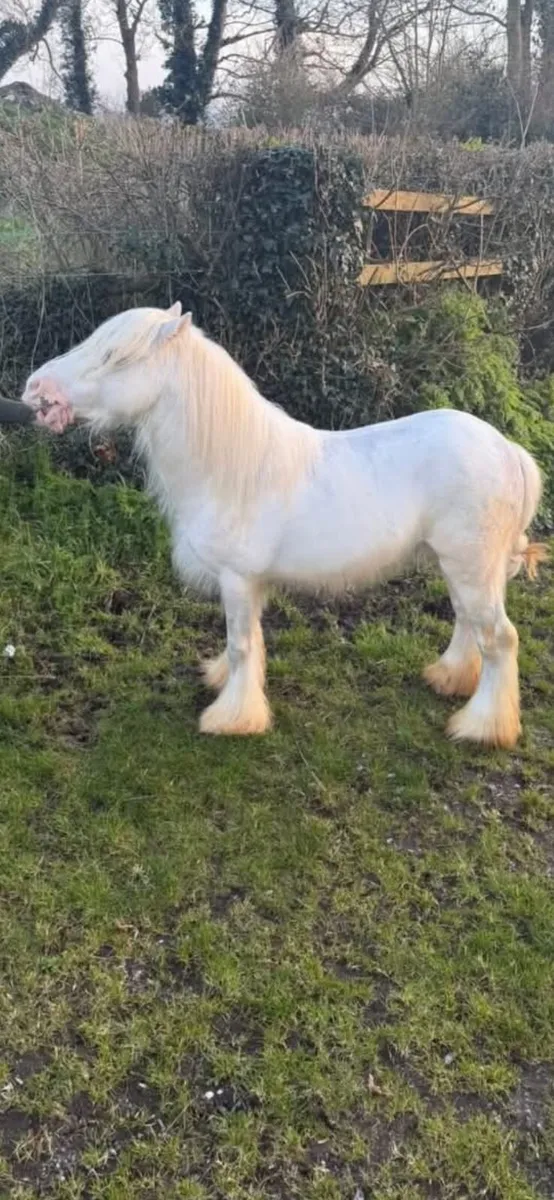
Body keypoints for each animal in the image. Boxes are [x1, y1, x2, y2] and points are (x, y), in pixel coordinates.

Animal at [22, 302, 548, 748]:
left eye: (114, 356)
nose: (34, 389)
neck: (230, 467)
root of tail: (507, 450)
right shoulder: (250, 584)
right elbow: (250, 643)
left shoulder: (236, 579)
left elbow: (240, 645)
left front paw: (231, 718)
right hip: (461, 566)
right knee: (467, 623)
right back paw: (449, 678)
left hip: (469, 565)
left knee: (499, 638)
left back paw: (482, 727)